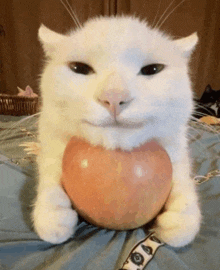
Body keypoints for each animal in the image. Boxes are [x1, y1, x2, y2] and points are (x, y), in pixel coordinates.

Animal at [32, 15, 201, 247]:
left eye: (152, 69)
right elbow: (49, 173)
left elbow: (183, 180)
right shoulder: (51, 142)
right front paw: (53, 214)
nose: (113, 96)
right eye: (79, 68)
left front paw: (180, 218)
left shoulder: (176, 149)